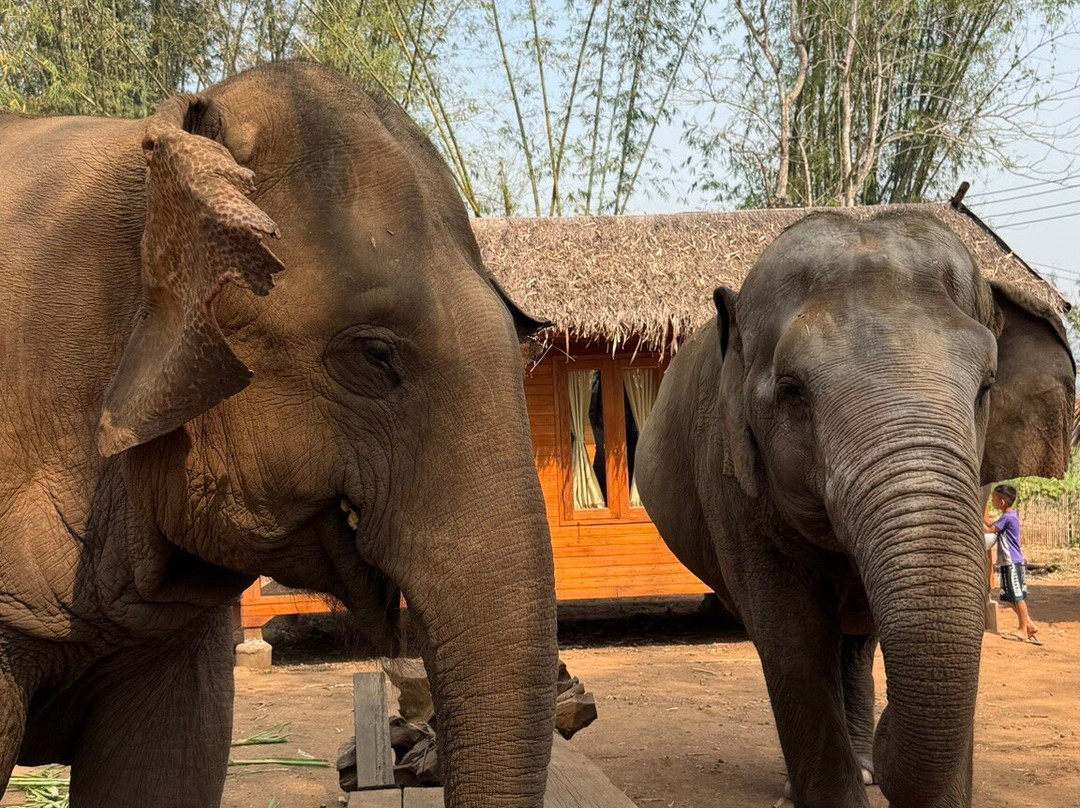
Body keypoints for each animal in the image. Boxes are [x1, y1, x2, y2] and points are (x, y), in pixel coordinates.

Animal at [636, 211, 1074, 808]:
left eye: (987, 385)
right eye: (792, 390)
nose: (892, 726)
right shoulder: (728, 479)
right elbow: (790, 637)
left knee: (857, 642)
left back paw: (866, 763)